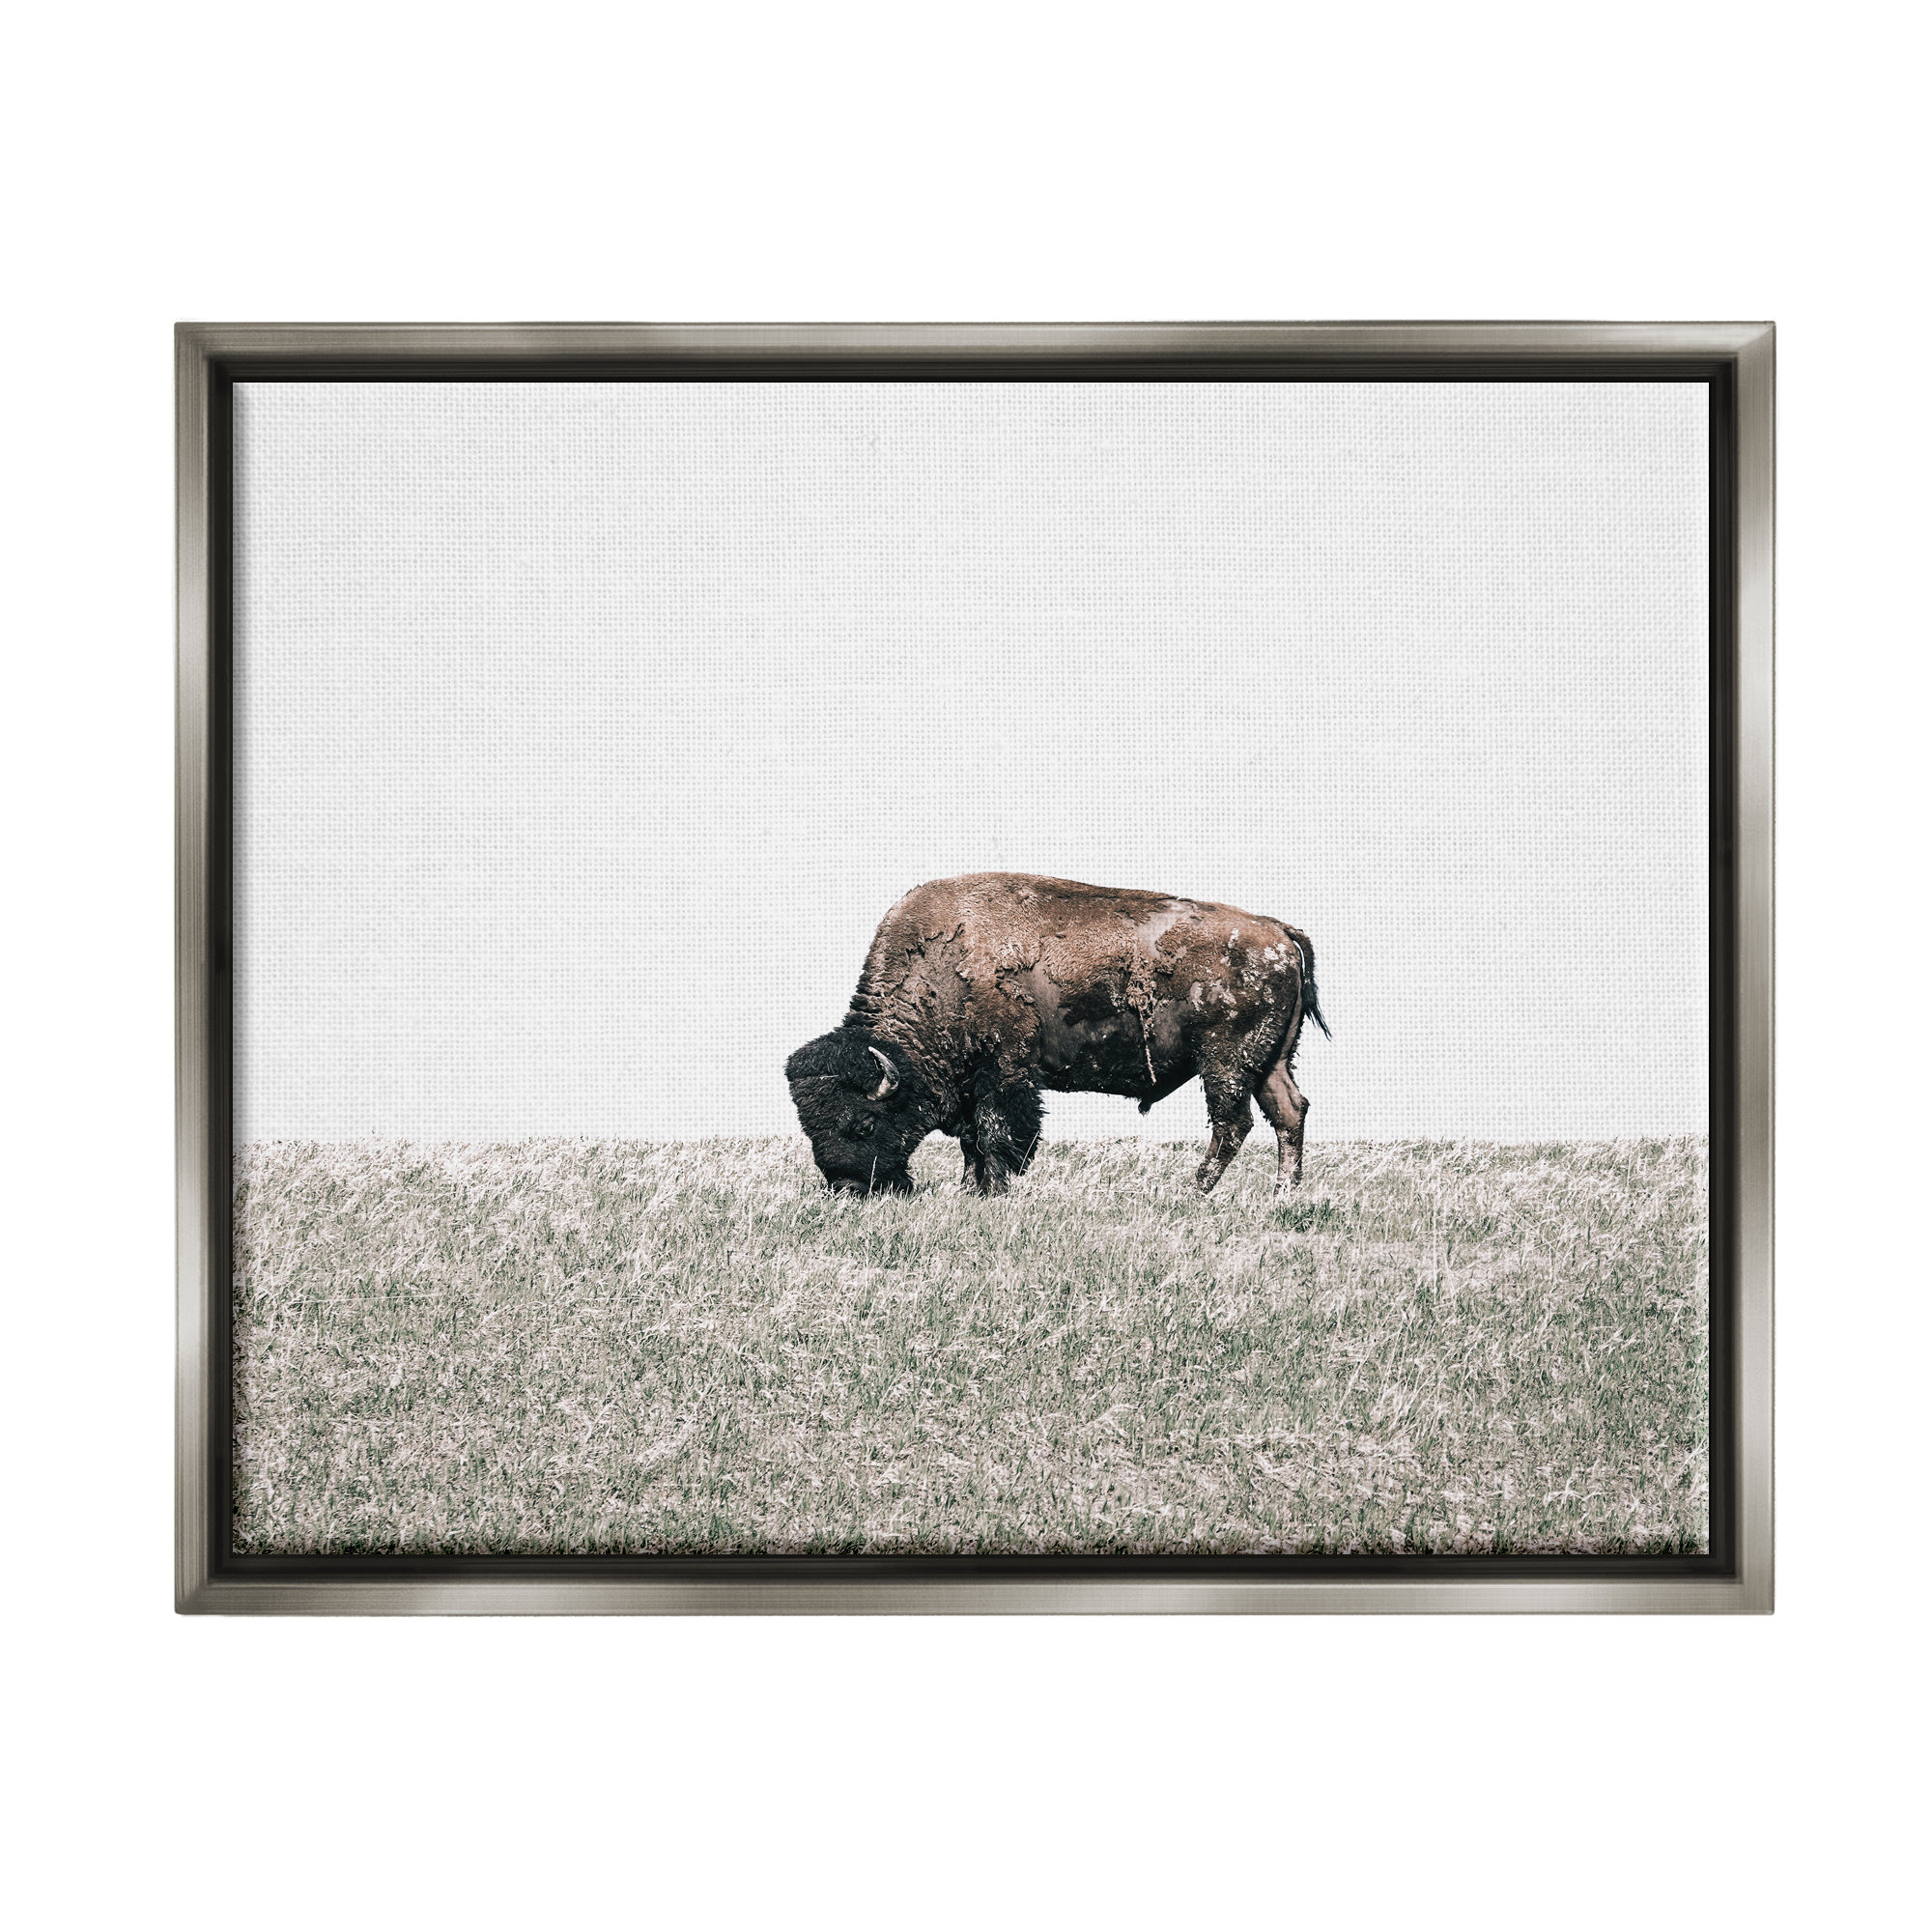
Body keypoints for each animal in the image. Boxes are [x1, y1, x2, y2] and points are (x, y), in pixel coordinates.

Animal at [785, 873, 1328, 1198]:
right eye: (810, 1128)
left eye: (862, 1124)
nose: (848, 1188)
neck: (942, 968)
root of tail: (1279, 933)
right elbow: (971, 1140)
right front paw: (970, 1190)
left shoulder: (1005, 1072)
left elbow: (996, 1133)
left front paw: (994, 1191)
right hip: (1271, 1061)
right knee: (1289, 1113)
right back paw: (1283, 1195)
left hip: (1225, 1062)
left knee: (1232, 1123)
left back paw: (1192, 1192)